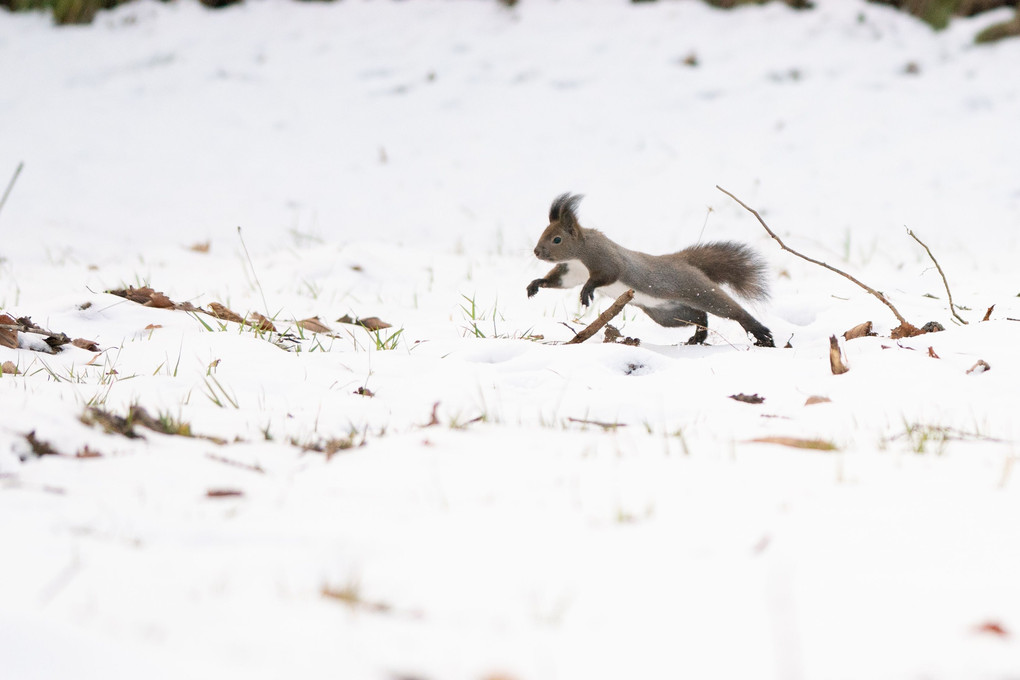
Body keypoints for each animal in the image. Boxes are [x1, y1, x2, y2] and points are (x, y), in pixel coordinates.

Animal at [530, 192, 775, 348]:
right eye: (543, 232)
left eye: (557, 239)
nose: (536, 252)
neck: (579, 254)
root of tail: (681, 261)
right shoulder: (571, 271)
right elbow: (559, 281)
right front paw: (536, 284)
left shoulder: (604, 257)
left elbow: (609, 273)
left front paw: (587, 291)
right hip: (668, 313)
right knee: (700, 316)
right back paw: (697, 338)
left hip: (696, 289)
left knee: (729, 310)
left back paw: (761, 333)